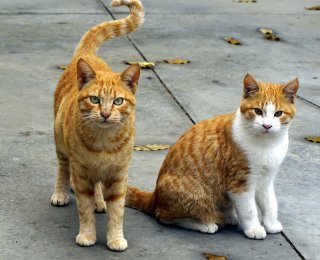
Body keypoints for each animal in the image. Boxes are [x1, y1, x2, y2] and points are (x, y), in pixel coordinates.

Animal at [49, 0, 144, 251]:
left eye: (118, 101)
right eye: (94, 99)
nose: (105, 113)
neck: (104, 141)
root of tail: (86, 55)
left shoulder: (119, 175)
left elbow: (117, 212)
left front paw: (115, 237)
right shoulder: (82, 174)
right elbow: (84, 209)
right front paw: (87, 234)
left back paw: (99, 201)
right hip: (60, 142)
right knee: (63, 168)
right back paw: (61, 192)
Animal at [125, 73, 298, 240]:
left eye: (278, 114)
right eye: (258, 111)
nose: (267, 126)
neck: (266, 144)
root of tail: (154, 197)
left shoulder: (266, 180)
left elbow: (270, 204)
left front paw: (271, 223)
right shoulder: (240, 183)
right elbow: (249, 210)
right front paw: (254, 228)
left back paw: (228, 216)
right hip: (195, 196)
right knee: (165, 216)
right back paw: (205, 224)